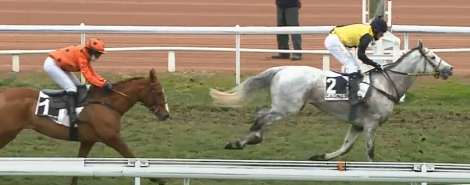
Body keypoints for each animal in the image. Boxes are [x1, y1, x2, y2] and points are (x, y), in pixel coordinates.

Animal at [0, 68, 171, 184]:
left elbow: (78, 167)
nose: (165, 115)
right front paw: (159, 179)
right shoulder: (112, 137)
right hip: (7, 133)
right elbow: (132, 157)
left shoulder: (88, 140)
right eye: (158, 92)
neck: (106, 103)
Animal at [208, 39, 452, 161]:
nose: (449, 69)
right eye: (432, 56)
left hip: (284, 106)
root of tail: (283, 68)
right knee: (261, 117)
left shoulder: (358, 124)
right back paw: (241, 142)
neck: (386, 83)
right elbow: (370, 153)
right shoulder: (371, 123)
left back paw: (247, 140)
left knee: (260, 113)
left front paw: (319, 156)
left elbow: (344, 148)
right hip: (288, 107)